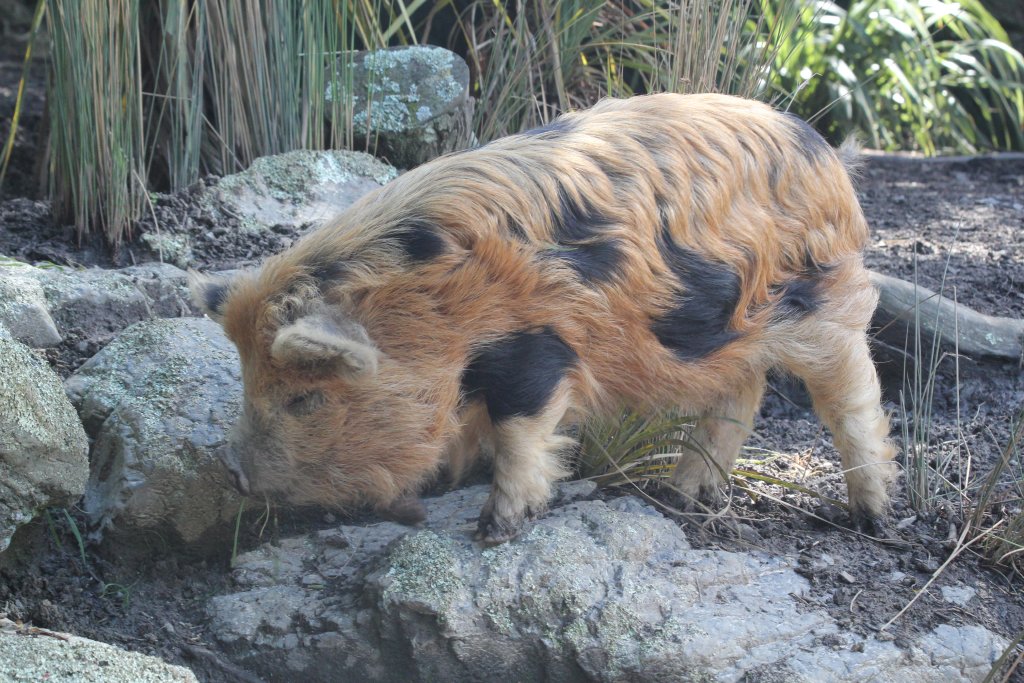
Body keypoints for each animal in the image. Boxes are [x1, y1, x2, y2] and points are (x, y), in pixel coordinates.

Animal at [191, 93, 896, 544]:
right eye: (251, 384)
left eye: (305, 397)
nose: (231, 470)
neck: (429, 311)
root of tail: (825, 152)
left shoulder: (536, 348)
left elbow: (520, 431)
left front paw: (494, 529)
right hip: (730, 333)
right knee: (740, 395)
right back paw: (681, 499)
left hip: (824, 302)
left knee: (852, 399)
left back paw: (872, 518)